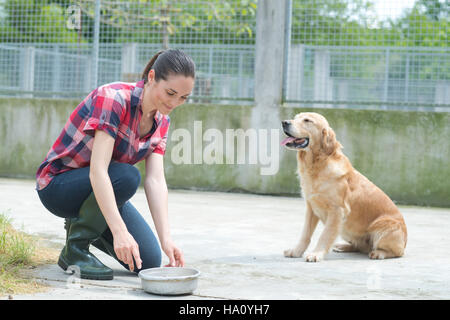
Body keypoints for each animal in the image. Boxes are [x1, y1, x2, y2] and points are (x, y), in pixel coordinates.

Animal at [284, 112, 406, 262]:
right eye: (295, 118)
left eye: (307, 120)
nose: (284, 122)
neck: (317, 165)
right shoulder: (311, 208)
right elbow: (305, 234)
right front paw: (296, 251)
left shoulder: (337, 211)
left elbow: (325, 235)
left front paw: (316, 254)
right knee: (360, 247)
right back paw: (343, 246)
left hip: (385, 226)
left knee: (397, 252)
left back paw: (379, 253)